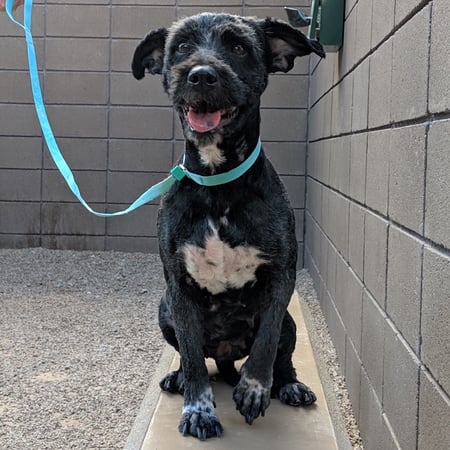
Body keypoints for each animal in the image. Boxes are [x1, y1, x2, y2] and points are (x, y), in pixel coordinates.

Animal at [132, 13, 326, 440]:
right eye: (182, 47)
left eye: (238, 46)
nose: (202, 75)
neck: (217, 183)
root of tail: (225, 357)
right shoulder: (178, 287)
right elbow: (190, 356)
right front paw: (198, 410)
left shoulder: (282, 275)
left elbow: (266, 342)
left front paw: (254, 388)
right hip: (164, 310)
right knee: (195, 358)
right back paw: (178, 379)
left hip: (291, 323)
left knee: (282, 355)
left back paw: (288, 384)